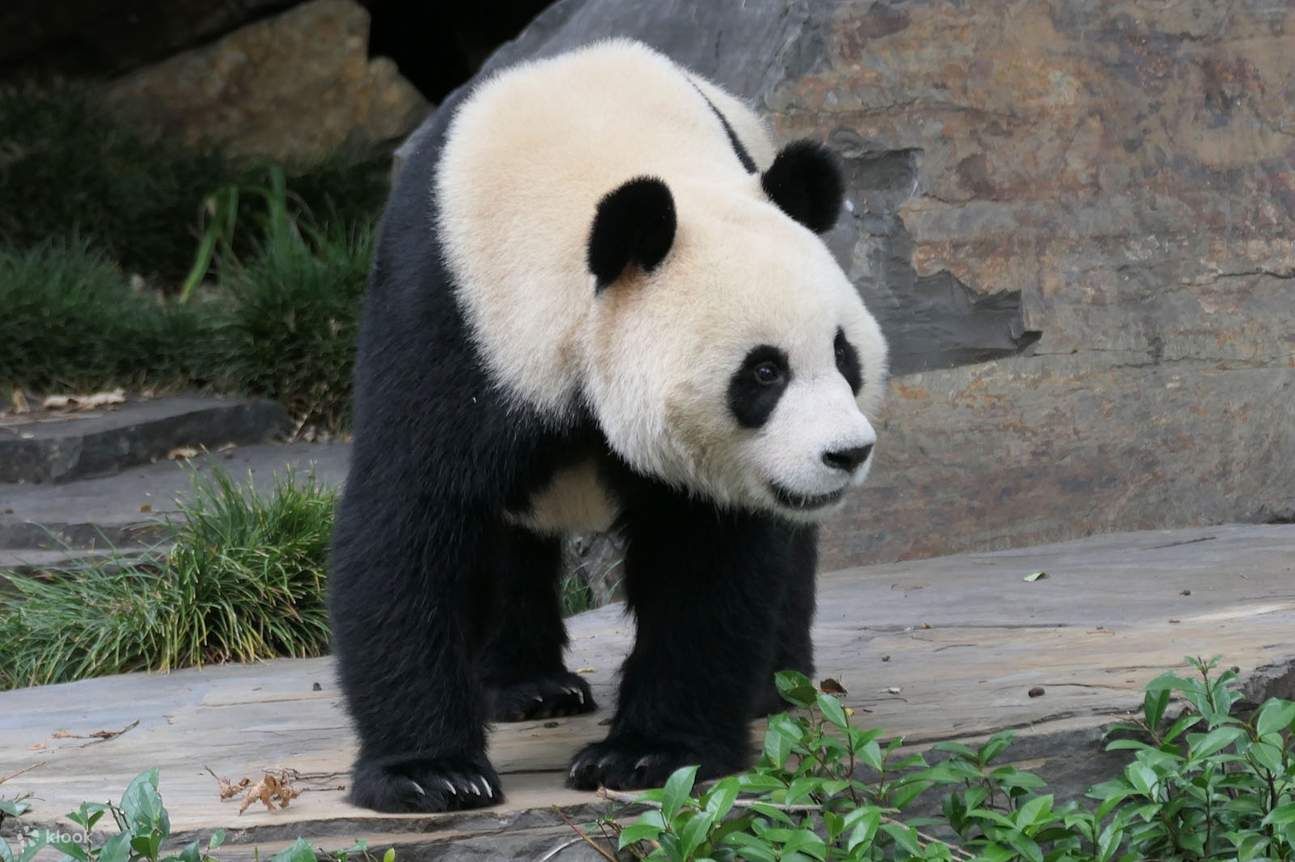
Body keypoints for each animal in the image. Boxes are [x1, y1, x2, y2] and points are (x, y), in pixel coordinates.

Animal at [328, 39, 888, 813]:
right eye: (763, 373)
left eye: (843, 354)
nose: (845, 453)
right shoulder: (447, 320)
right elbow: (412, 521)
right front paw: (429, 773)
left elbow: (706, 558)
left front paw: (648, 755)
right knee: (506, 545)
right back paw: (528, 688)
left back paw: (773, 685)